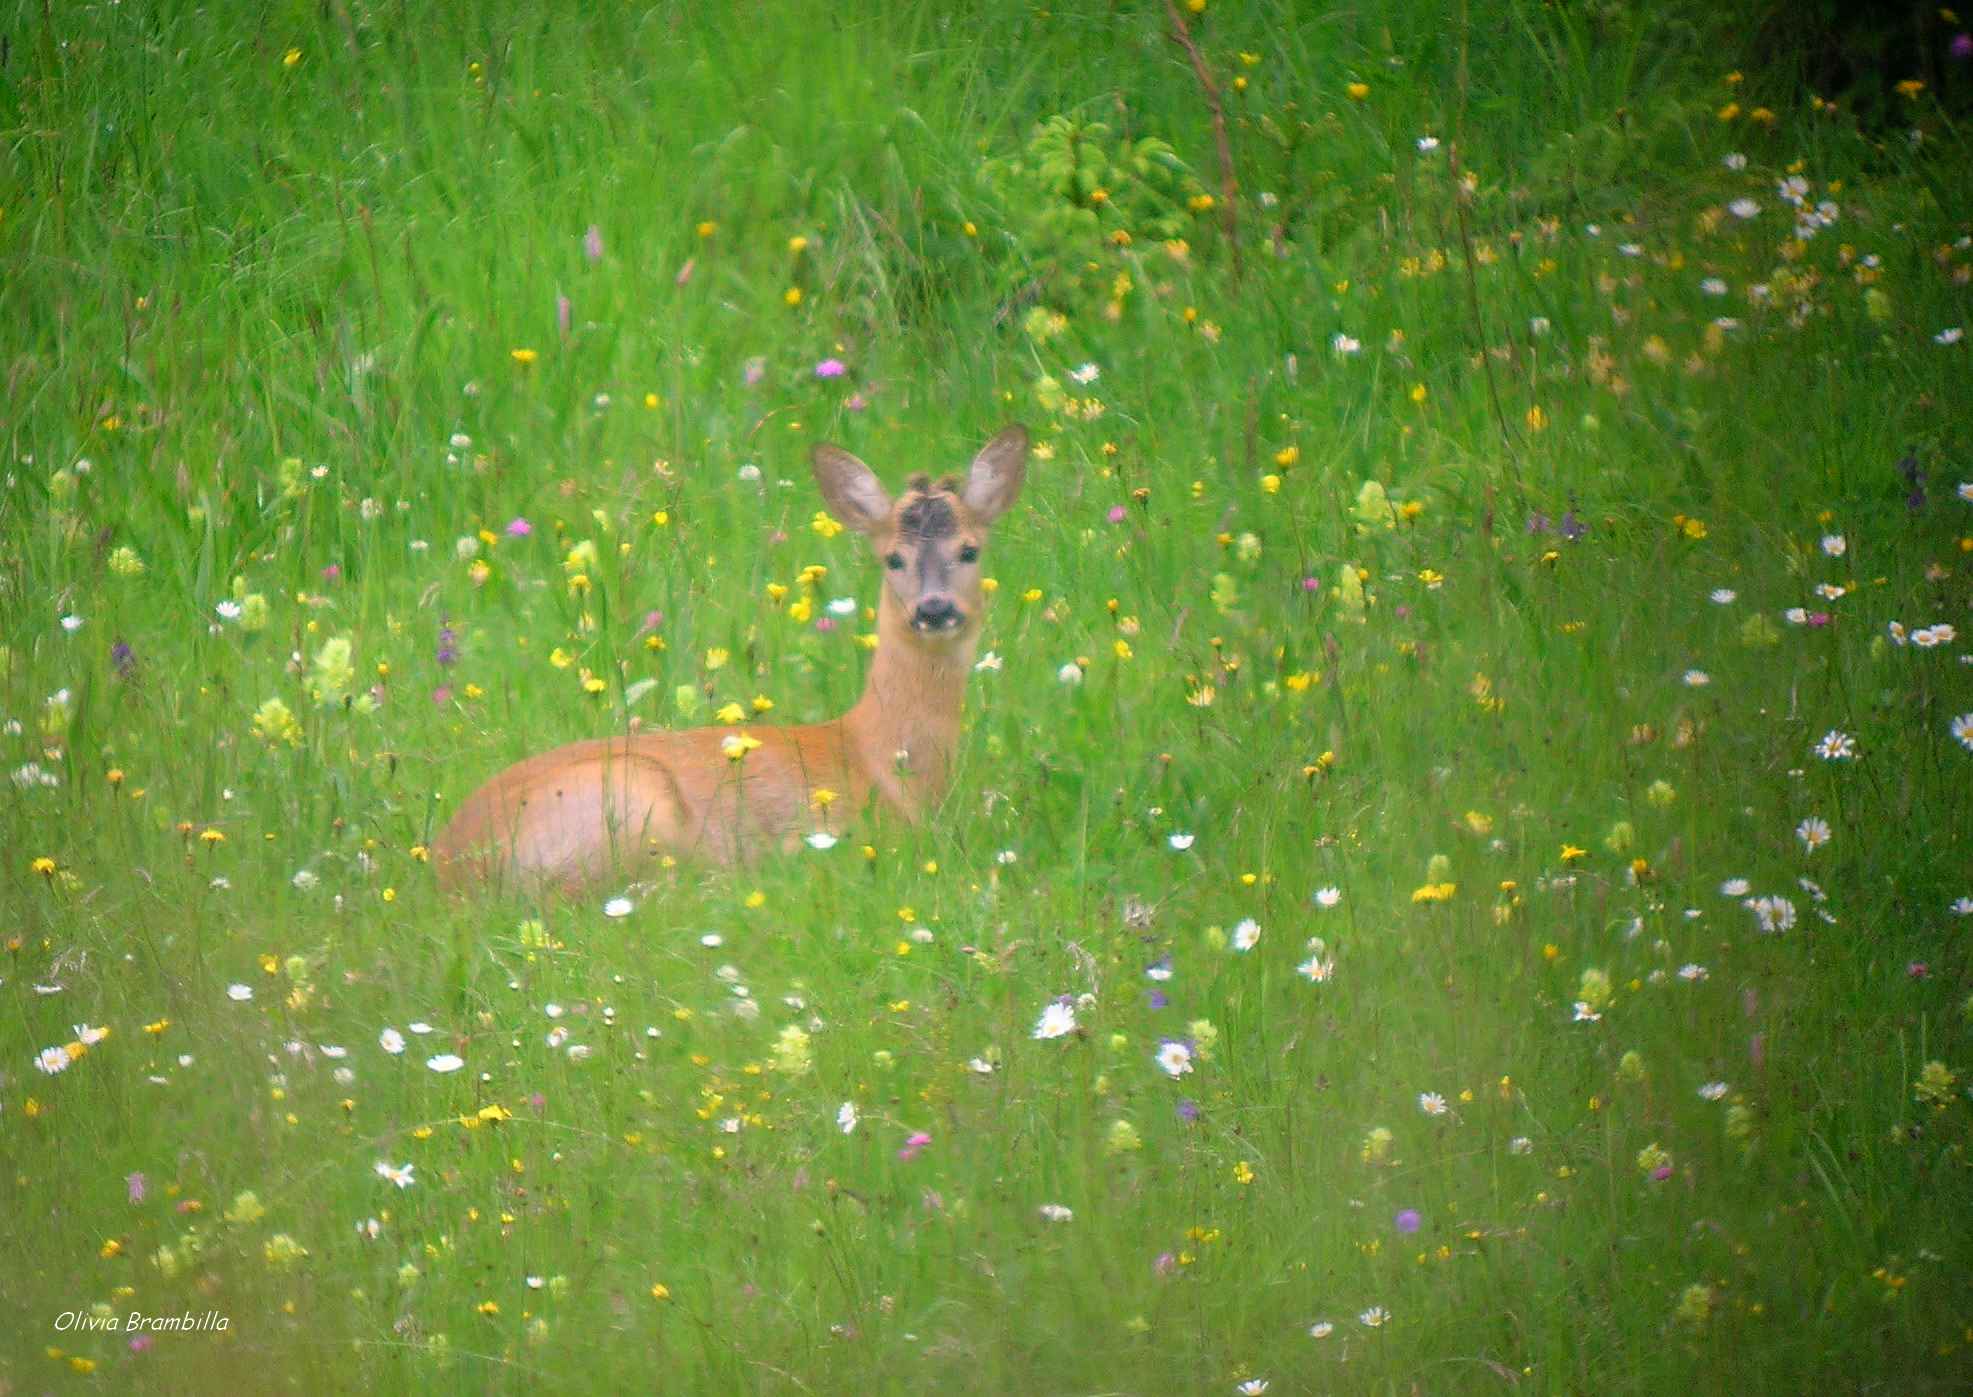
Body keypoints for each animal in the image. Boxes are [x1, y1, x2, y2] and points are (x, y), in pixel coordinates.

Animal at [434, 420, 1033, 895]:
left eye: (969, 550)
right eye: (893, 558)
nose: (934, 609)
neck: (882, 758)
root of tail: (449, 866)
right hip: (628, 805)